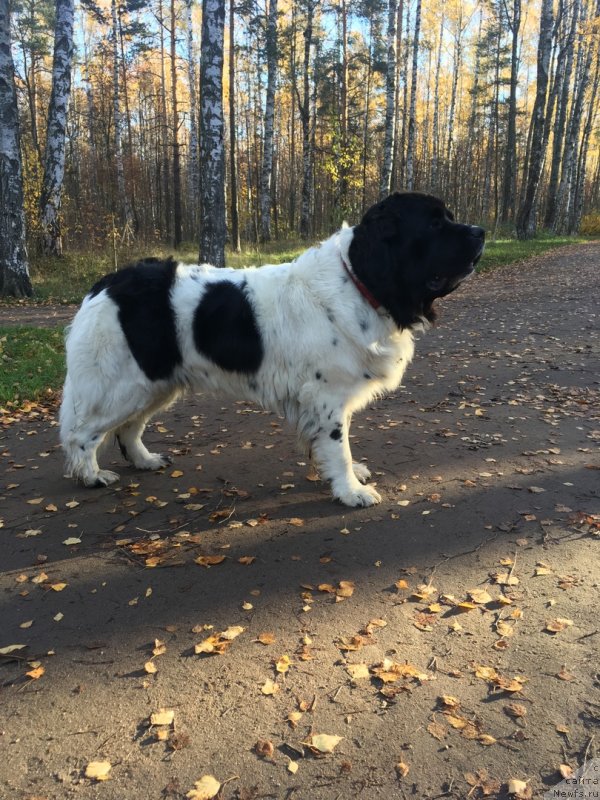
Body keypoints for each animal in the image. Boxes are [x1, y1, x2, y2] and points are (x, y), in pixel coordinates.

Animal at [59, 192, 482, 506]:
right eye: (434, 224)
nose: (481, 231)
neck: (359, 279)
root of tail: (106, 283)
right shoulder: (326, 395)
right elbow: (338, 447)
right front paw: (351, 491)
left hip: (155, 383)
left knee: (128, 428)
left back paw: (145, 460)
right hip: (122, 385)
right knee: (83, 433)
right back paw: (92, 476)